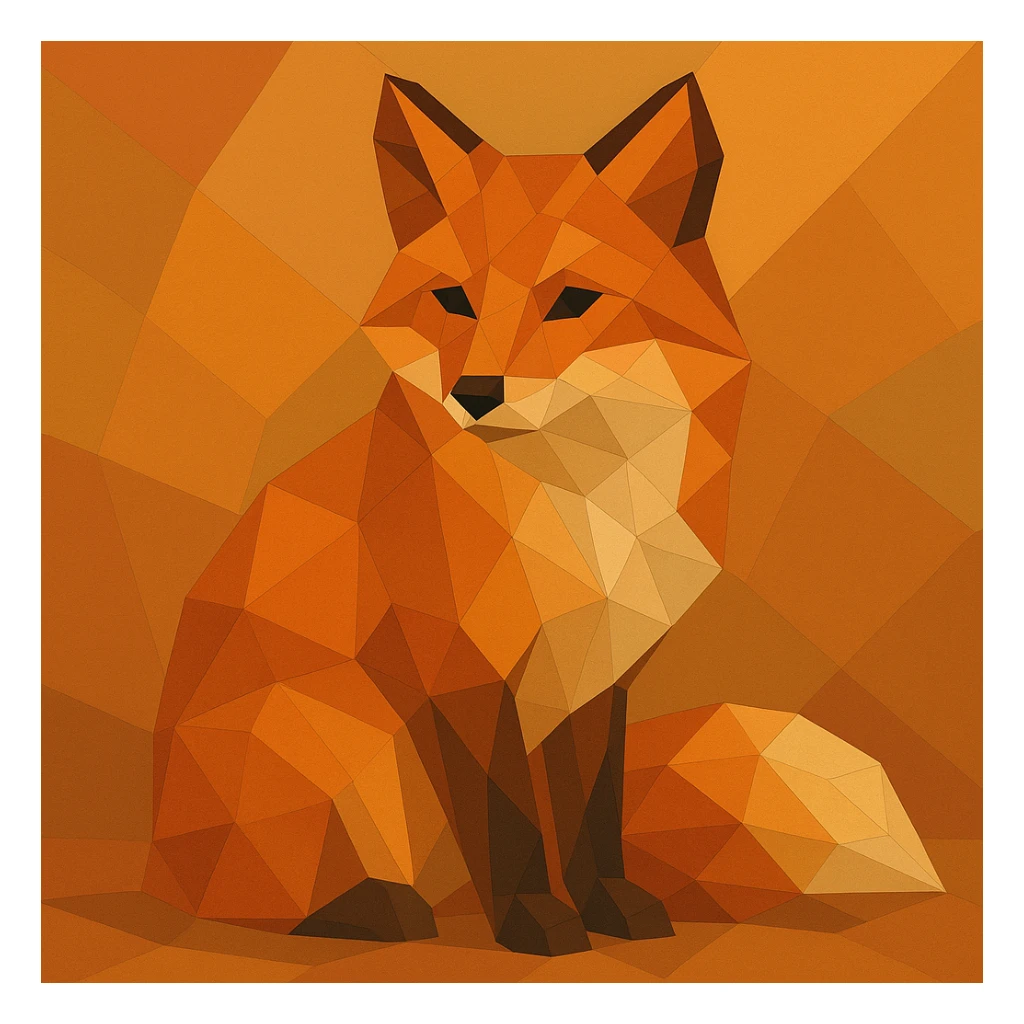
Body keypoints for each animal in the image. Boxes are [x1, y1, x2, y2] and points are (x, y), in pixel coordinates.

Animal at [145, 72, 750, 957]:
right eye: (455, 300)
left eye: (573, 300)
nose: (476, 393)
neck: (583, 510)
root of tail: (152, 851)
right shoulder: (459, 671)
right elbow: (510, 817)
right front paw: (538, 921)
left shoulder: (594, 676)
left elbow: (590, 818)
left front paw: (611, 908)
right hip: (351, 752)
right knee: (262, 898)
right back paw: (380, 908)